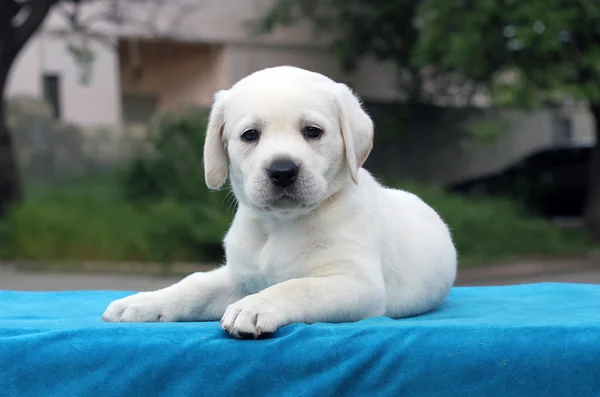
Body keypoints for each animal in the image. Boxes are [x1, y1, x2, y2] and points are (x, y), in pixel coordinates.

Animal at [104, 65, 460, 338]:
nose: (282, 171)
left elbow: (295, 286)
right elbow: (194, 285)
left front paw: (254, 307)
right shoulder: (240, 277)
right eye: (250, 135)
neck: (279, 225)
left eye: (313, 131)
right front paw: (143, 302)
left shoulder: (357, 284)